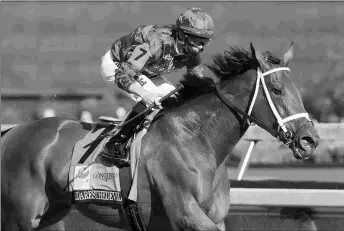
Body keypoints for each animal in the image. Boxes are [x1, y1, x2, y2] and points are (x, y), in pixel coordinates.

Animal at [2, 42, 320, 230]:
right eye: (277, 89)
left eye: (296, 88)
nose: (310, 140)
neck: (197, 139)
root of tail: (12, 131)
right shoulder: (185, 214)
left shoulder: (213, 219)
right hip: (24, 215)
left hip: (51, 214)